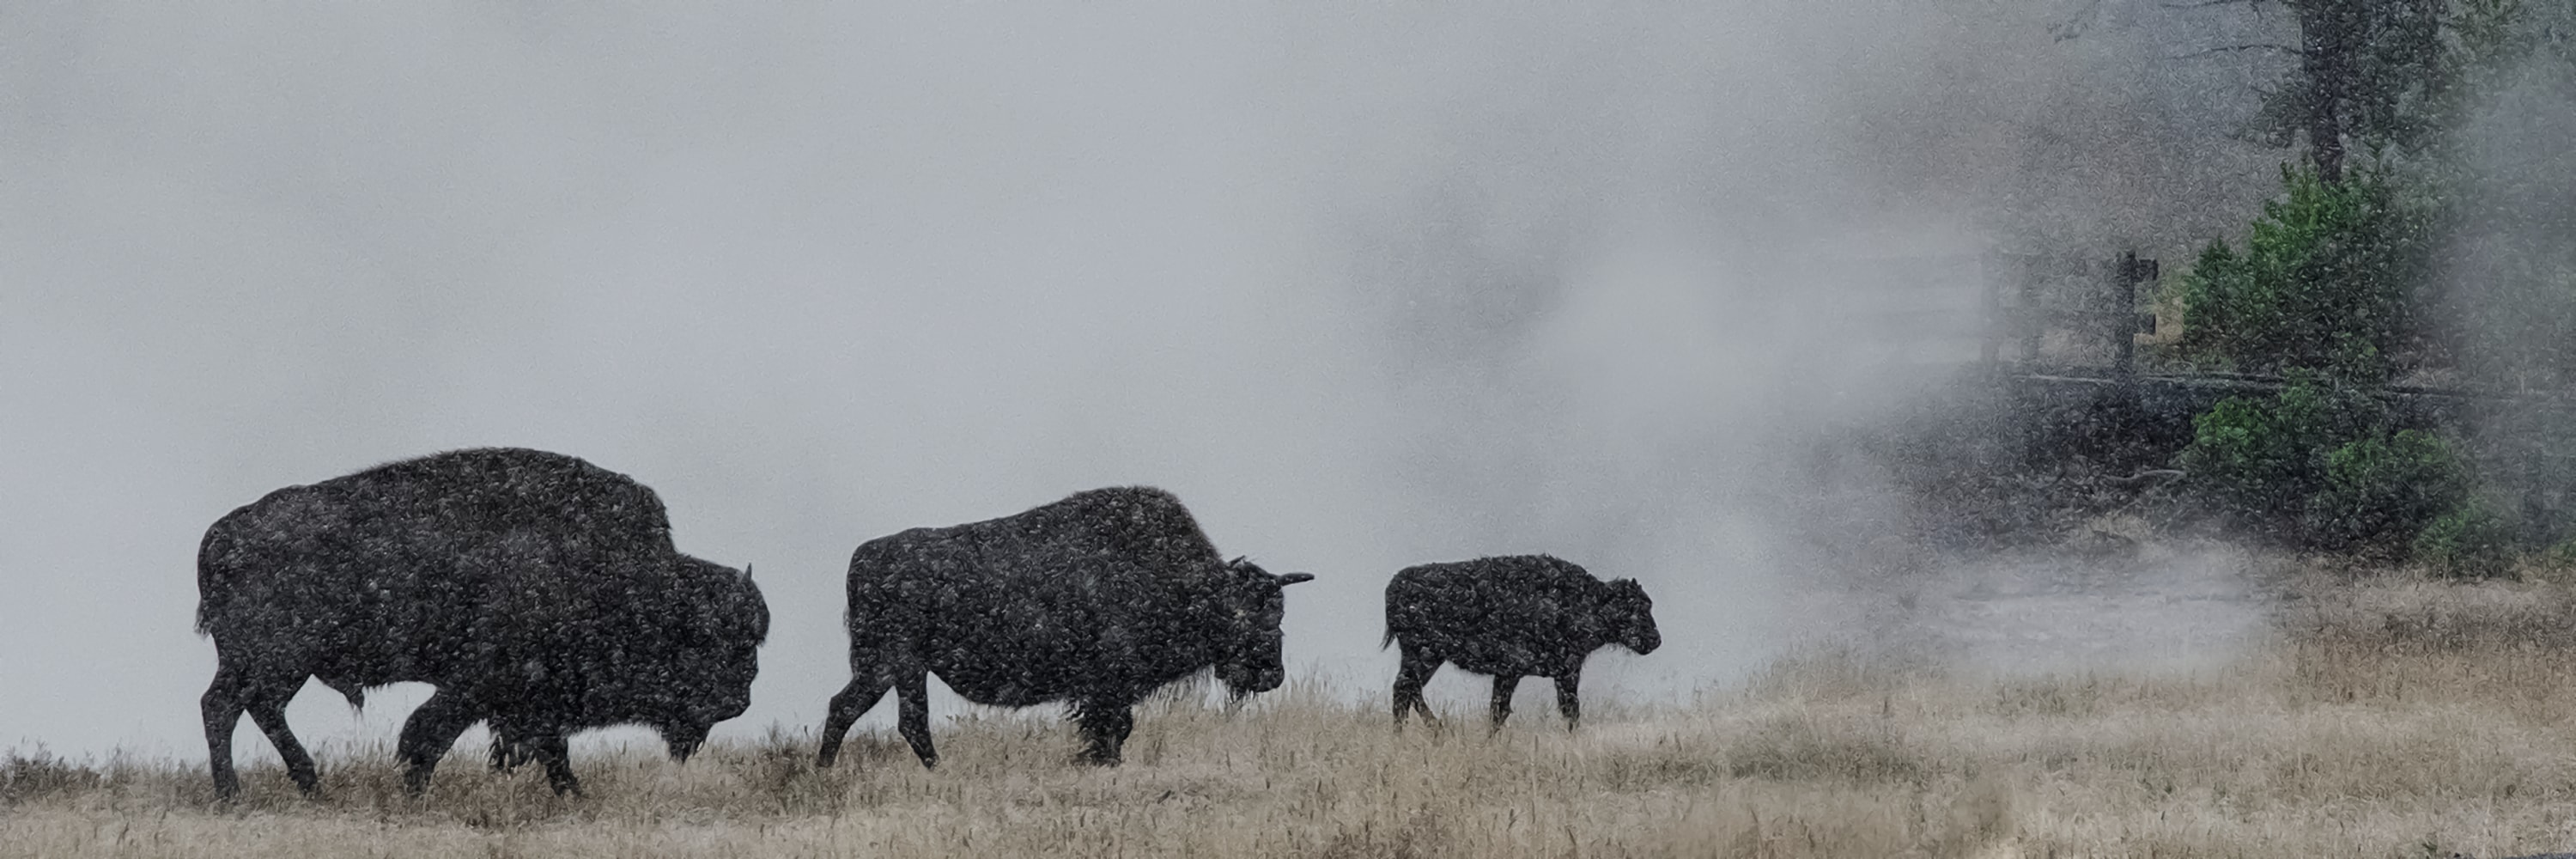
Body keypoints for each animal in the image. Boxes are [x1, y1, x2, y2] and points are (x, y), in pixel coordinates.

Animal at [191, 448, 762, 794]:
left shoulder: (527, 699)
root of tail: (224, 533)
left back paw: (304, 784)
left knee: (248, 708)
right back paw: (235, 793)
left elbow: (545, 749)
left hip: (274, 666)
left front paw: (571, 795)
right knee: (226, 708)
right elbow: (429, 737)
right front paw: (413, 792)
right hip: (274, 660)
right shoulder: (481, 685)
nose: (740, 700)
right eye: (705, 640)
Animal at [814, 484, 1309, 763]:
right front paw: (1098, 762)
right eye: (1247, 614)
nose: (1272, 674)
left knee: (861, 711)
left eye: (1279, 613)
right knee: (895, 719)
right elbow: (1111, 729)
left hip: (891, 670)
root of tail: (864, 557)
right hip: (897, 666)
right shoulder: (1107, 687)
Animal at [1381, 554, 1659, 727]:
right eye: (1635, 608)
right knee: (1406, 688)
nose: (1654, 640)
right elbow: (1570, 710)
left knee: (1406, 691)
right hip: (1424, 655)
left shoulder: (1513, 674)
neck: (1586, 600)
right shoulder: (1562, 671)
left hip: (1424, 658)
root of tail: (1396, 585)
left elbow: (1498, 712)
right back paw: (1435, 729)